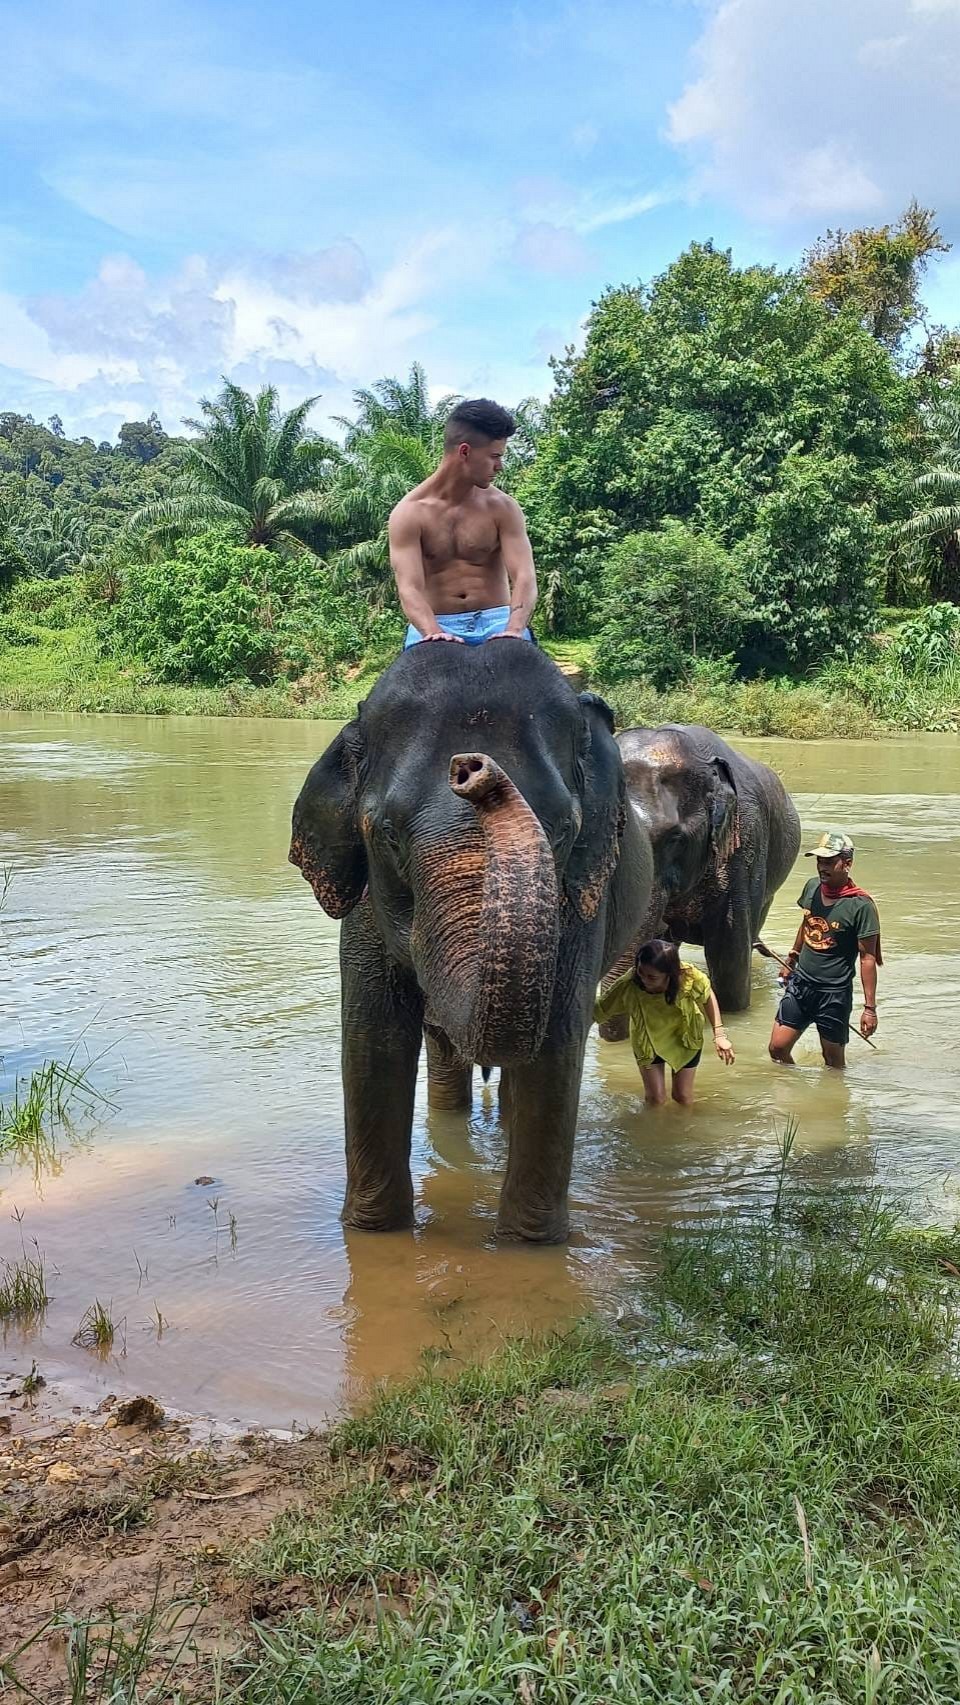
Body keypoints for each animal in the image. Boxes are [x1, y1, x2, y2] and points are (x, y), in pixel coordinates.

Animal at [291, 641, 654, 1241]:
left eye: (562, 831)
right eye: (388, 836)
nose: (472, 768)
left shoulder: (582, 900)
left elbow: (557, 1046)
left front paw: (528, 1247)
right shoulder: (364, 908)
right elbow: (373, 1041)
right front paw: (374, 1235)